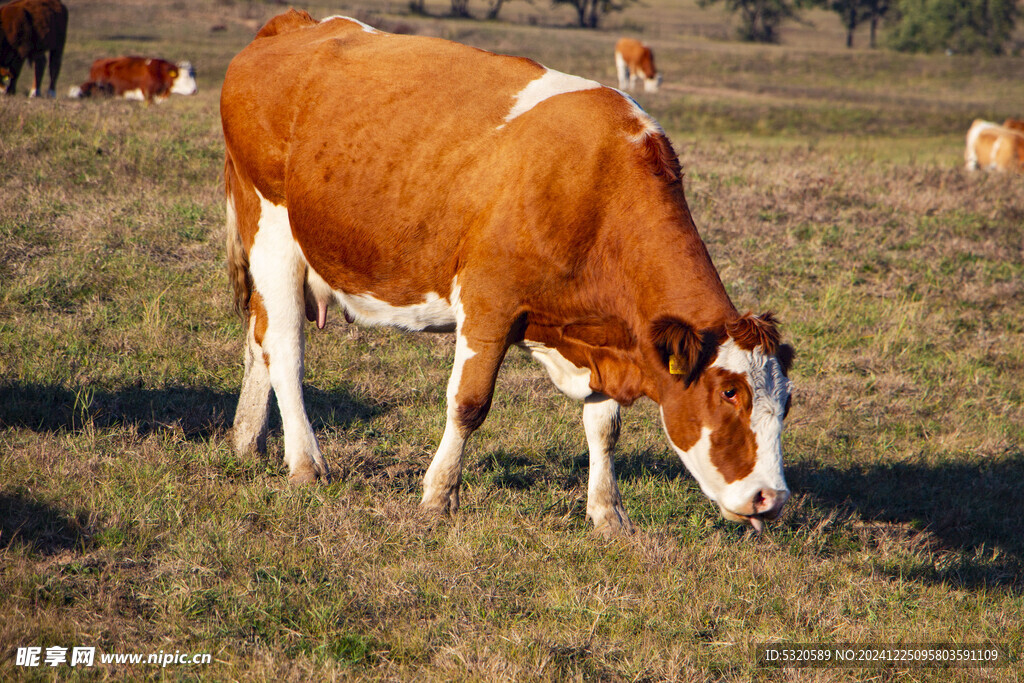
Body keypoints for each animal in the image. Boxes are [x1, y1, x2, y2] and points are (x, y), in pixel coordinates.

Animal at [220, 9, 794, 532]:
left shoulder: (605, 332)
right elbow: (468, 404)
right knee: (284, 349)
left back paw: (248, 440)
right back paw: (305, 463)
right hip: (272, 230)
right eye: (728, 393)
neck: (596, 189)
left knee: (258, 336)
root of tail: (296, 23)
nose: (771, 498)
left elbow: (604, 426)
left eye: (787, 402)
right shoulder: (488, 305)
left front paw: (608, 514)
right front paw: (438, 497)